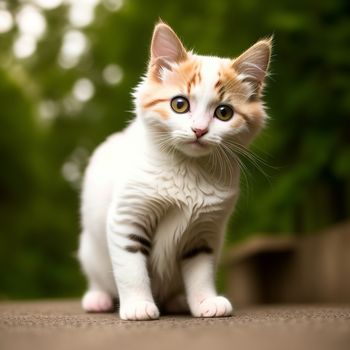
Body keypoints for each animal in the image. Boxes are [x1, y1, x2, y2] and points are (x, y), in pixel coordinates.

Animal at [78, 21, 272, 320]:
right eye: (179, 104)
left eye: (224, 113)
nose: (199, 130)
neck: (187, 170)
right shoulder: (128, 217)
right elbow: (131, 270)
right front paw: (138, 305)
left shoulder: (203, 233)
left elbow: (200, 274)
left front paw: (205, 301)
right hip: (90, 251)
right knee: (98, 280)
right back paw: (97, 299)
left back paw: (177, 301)